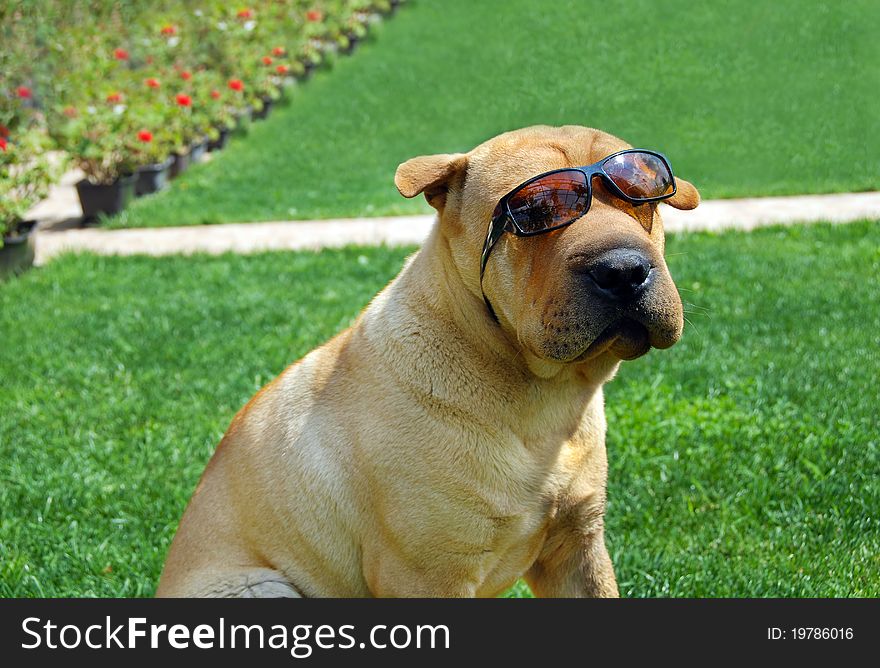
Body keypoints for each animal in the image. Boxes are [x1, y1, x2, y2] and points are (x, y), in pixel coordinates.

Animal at [155, 126, 696, 600]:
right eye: (537, 209)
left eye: (644, 196)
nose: (624, 270)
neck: (541, 400)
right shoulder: (428, 574)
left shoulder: (577, 545)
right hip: (262, 586)